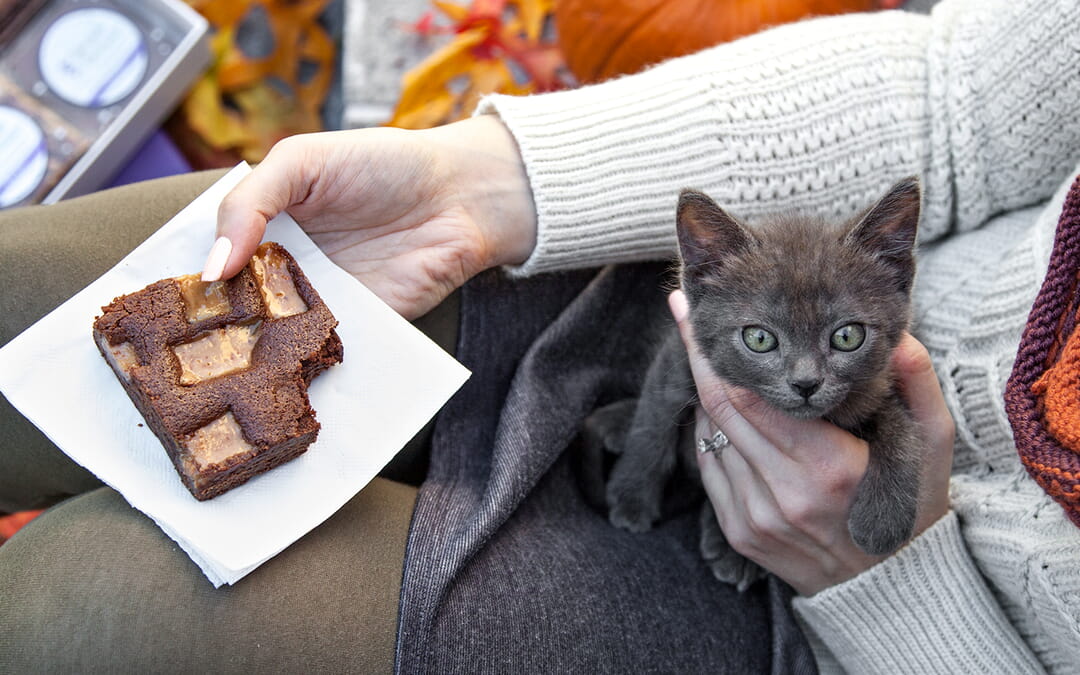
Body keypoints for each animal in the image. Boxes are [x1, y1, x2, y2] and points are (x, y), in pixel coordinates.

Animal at [604, 176, 924, 587]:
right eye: (759, 338)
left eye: (847, 336)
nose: (806, 383)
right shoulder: (681, 351)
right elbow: (654, 417)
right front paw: (631, 495)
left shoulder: (879, 384)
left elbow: (902, 427)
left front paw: (883, 520)